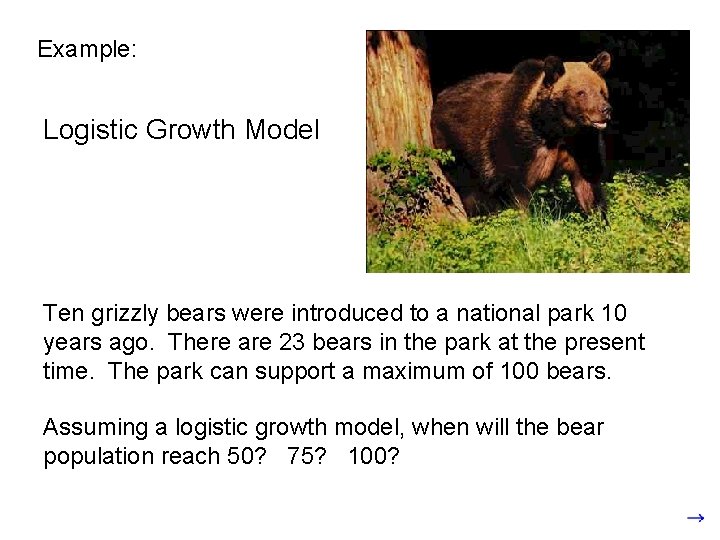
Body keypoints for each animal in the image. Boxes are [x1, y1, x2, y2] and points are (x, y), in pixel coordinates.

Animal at [431, 52, 612, 217]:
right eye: (581, 92)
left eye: (602, 91)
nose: (605, 110)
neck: (555, 129)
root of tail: (439, 98)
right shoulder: (515, 145)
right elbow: (517, 194)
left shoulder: (583, 145)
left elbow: (589, 186)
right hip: (455, 147)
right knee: (472, 193)